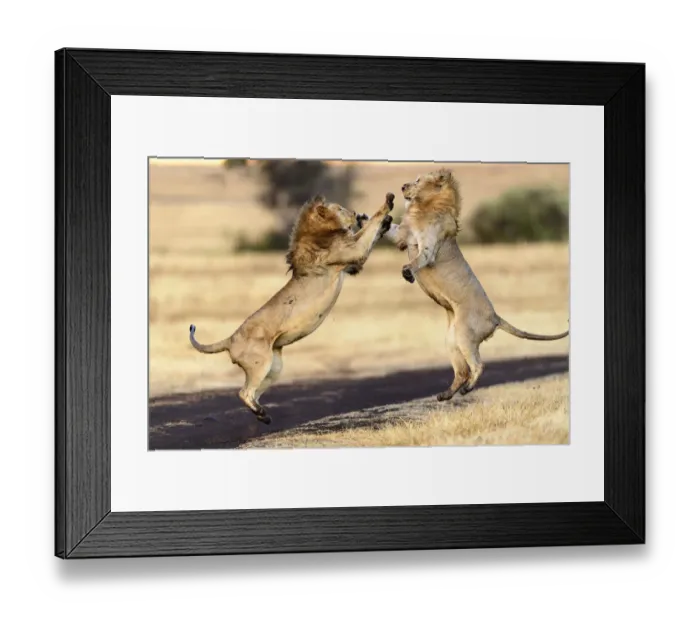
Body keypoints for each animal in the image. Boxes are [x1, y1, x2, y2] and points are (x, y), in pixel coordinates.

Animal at [189, 192, 395, 424]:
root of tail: (231, 338)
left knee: (255, 391)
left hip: (274, 368)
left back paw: (262, 414)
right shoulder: (353, 252)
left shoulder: (352, 265)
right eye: (340, 209)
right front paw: (387, 204)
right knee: (243, 392)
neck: (321, 232)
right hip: (260, 362)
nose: (354, 213)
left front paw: (386, 223)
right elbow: (370, 228)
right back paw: (261, 414)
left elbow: (371, 233)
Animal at [384, 169, 568, 401]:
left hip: (464, 334)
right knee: (462, 371)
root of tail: (495, 317)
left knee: (479, 365)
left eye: (418, 180)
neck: (424, 207)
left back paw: (467, 389)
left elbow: (420, 259)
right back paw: (445, 394)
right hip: (451, 339)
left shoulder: (429, 246)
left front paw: (407, 272)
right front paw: (366, 218)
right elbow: (388, 229)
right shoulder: (403, 235)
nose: (402, 187)